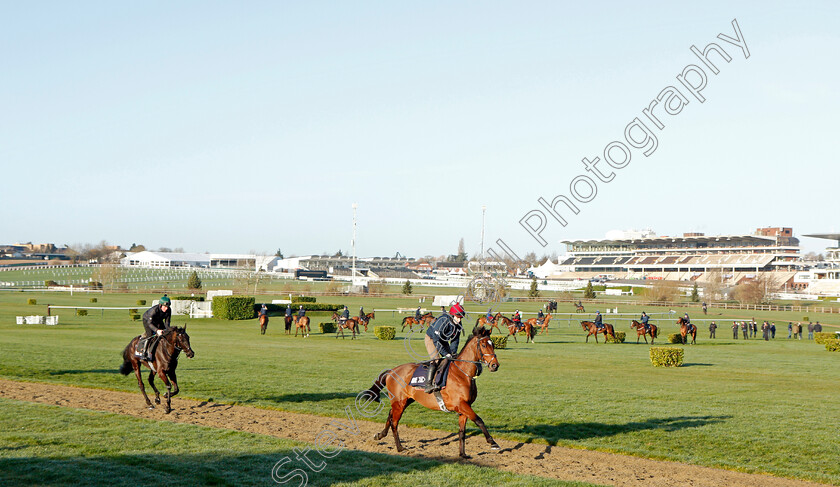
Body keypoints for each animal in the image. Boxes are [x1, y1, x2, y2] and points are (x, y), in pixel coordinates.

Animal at [360, 326, 498, 460]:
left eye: (493, 344)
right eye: (484, 345)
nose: (495, 365)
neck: (462, 373)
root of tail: (391, 371)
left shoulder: (464, 408)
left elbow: (462, 432)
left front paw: (463, 454)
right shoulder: (461, 405)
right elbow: (479, 420)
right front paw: (493, 442)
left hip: (406, 401)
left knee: (390, 415)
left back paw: (380, 435)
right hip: (399, 402)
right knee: (394, 422)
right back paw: (400, 448)